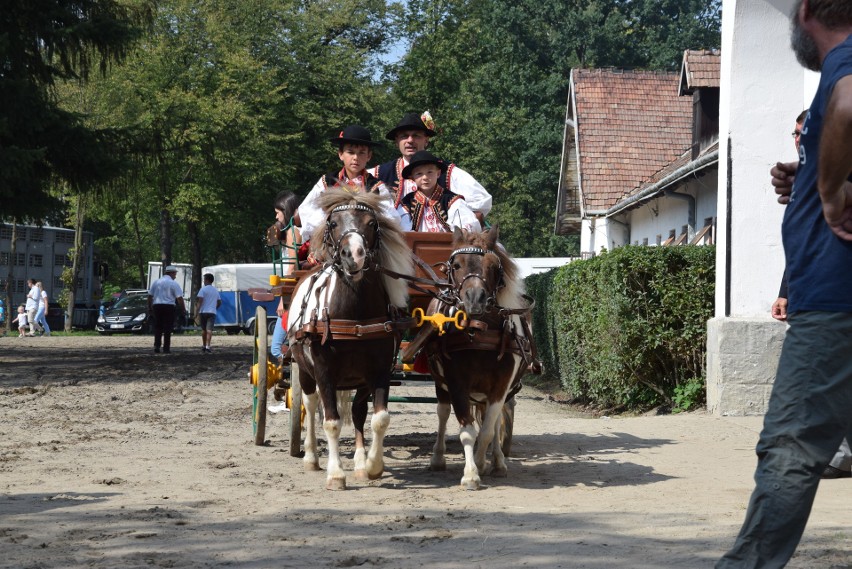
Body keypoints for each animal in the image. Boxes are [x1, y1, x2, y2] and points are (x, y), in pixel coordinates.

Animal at [288, 187, 414, 488]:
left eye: (372, 224)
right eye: (333, 223)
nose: (353, 255)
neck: (354, 316)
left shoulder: (379, 371)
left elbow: (379, 418)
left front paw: (372, 466)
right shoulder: (324, 372)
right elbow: (331, 421)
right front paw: (335, 474)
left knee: (357, 411)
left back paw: (358, 461)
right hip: (305, 371)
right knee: (310, 405)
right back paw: (311, 457)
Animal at [422, 225, 528, 488]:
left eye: (493, 266)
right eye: (457, 265)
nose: (475, 299)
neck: (479, 331)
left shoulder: (501, 385)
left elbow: (489, 430)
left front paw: (482, 462)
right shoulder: (456, 382)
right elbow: (467, 430)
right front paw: (471, 473)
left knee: (496, 421)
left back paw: (498, 462)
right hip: (441, 385)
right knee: (442, 413)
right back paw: (437, 458)